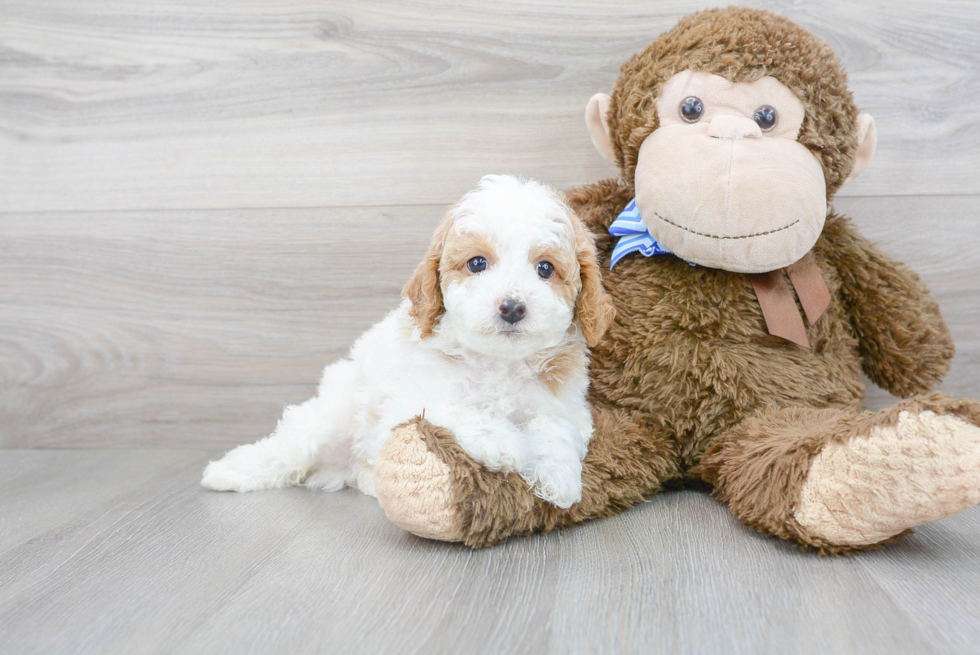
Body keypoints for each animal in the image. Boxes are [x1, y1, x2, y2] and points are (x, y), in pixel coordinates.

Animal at [201, 174, 612, 508]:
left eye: (546, 269)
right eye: (477, 263)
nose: (512, 307)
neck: (498, 362)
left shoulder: (567, 405)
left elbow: (557, 427)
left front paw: (560, 477)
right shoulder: (409, 400)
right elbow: (454, 408)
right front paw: (504, 442)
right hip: (332, 413)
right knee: (287, 446)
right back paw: (227, 472)